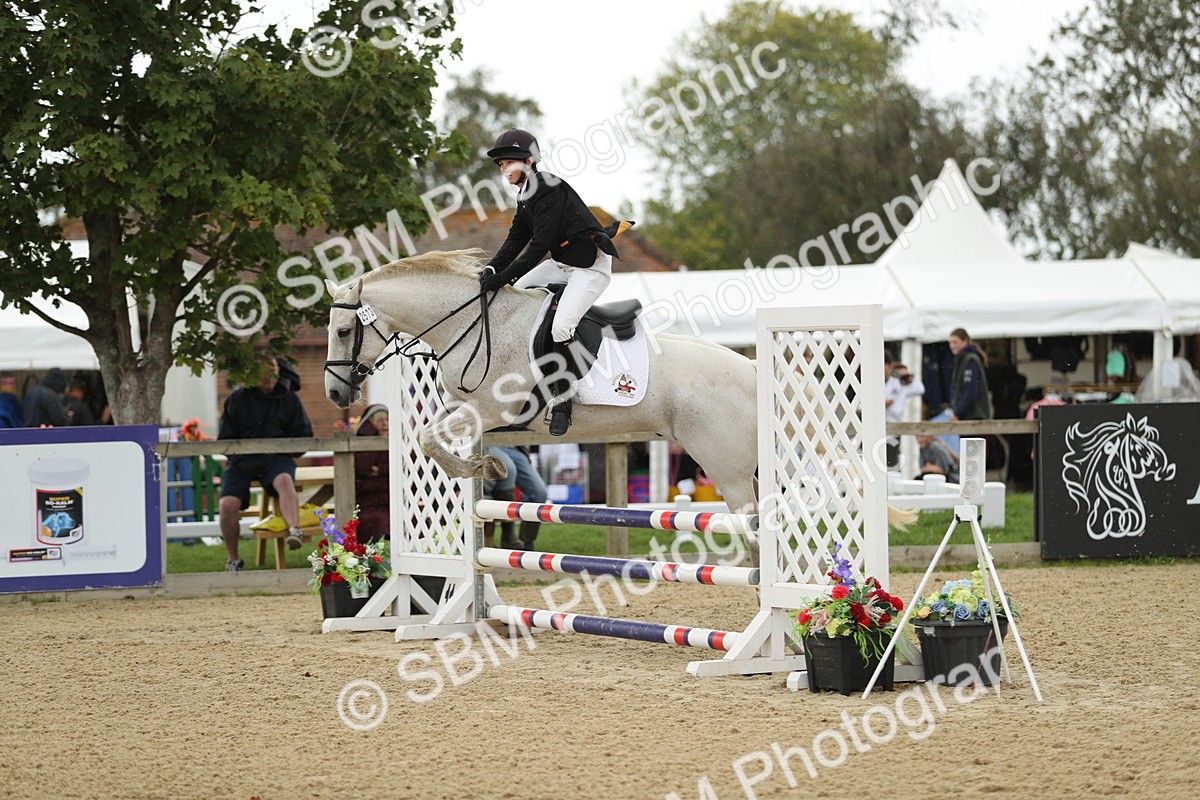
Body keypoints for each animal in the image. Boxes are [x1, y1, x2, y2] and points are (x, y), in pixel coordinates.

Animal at [322, 249, 913, 530]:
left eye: (345, 330)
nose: (335, 396)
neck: (474, 322)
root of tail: (751, 370)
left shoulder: (491, 410)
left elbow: (427, 438)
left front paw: (480, 468)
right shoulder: (472, 411)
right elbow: (431, 437)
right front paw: (485, 468)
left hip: (725, 466)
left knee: (751, 520)